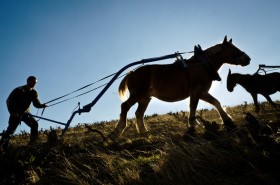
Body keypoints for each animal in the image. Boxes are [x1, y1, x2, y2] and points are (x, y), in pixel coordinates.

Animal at [110, 36, 250, 137]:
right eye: (232, 48)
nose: (248, 59)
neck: (202, 65)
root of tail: (131, 73)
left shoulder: (202, 92)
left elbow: (216, 102)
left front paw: (227, 121)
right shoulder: (196, 91)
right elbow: (193, 107)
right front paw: (191, 127)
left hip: (145, 98)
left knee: (139, 113)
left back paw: (144, 132)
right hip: (138, 94)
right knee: (125, 106)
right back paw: (119, 129)